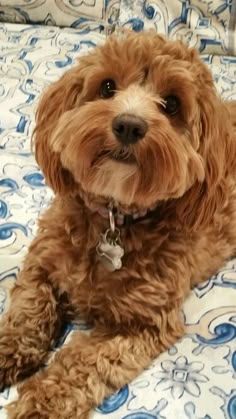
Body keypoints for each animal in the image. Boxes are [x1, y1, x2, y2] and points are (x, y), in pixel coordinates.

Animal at [0, 32, 236, 419]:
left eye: (171, 104)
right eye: (107, 86)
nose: (128, 124)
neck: (113, 217)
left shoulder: (143, 324)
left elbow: (84, 362)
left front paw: (41, 402)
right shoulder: (40, 266)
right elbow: (26, 314)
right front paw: (7, 351)